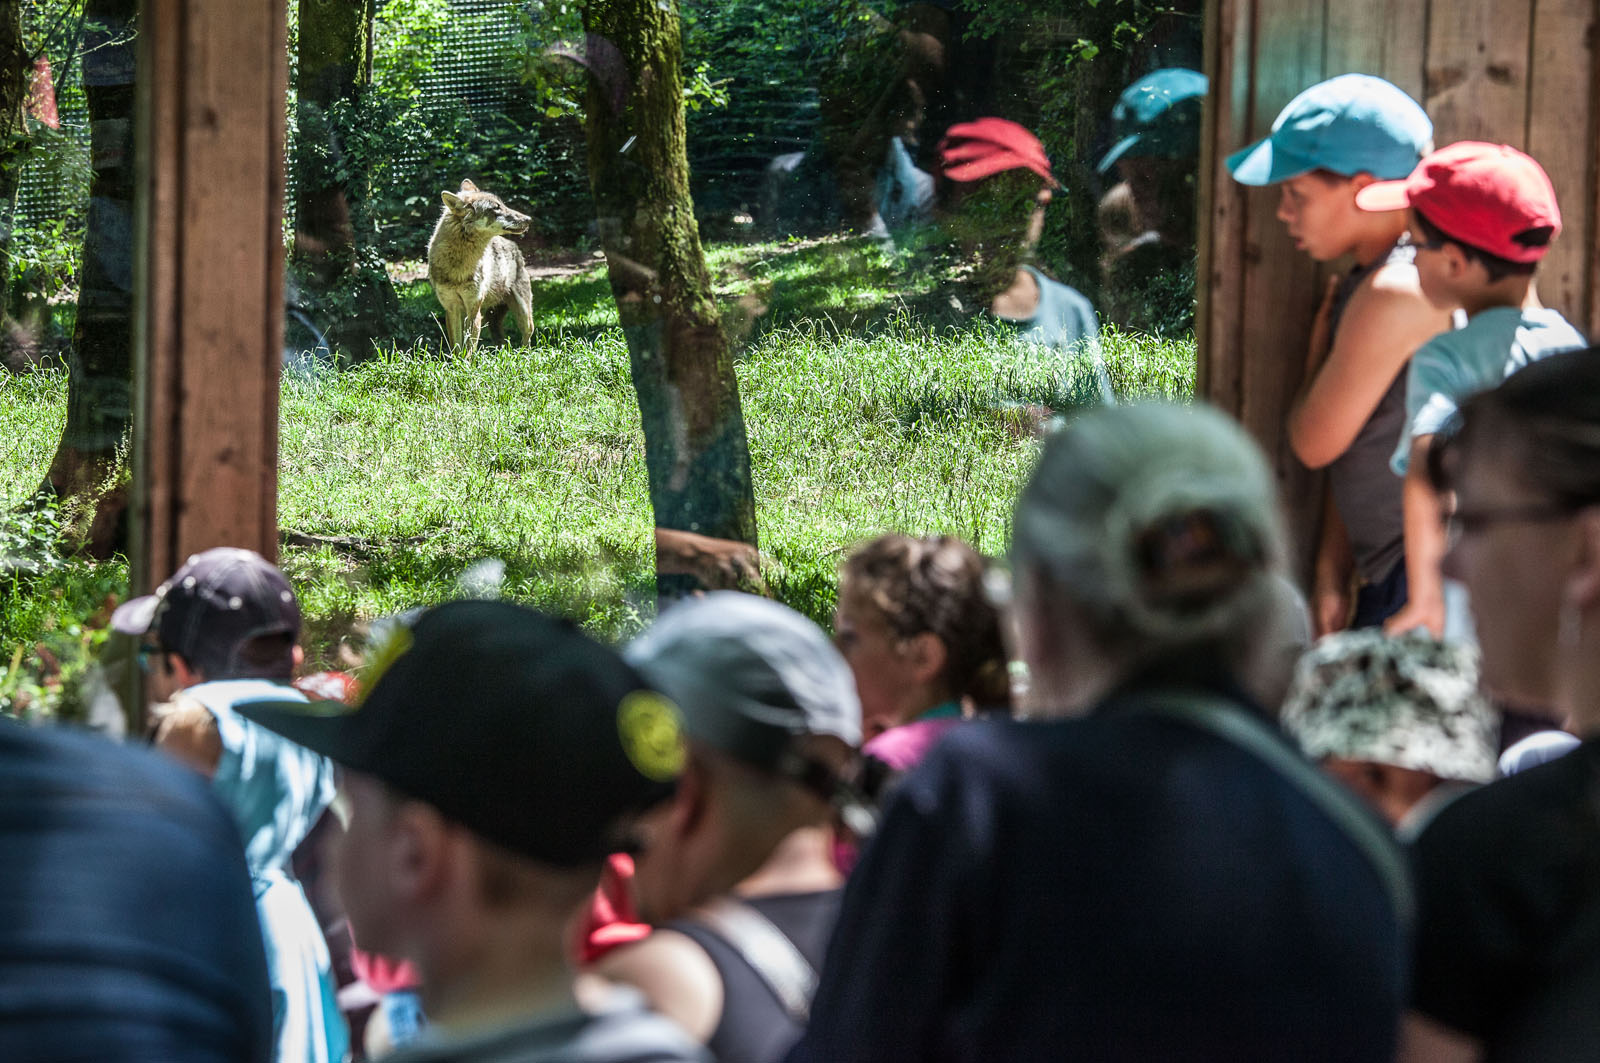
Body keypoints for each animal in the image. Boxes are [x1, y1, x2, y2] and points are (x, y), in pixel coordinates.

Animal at [428, 178, 534, 352]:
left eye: (502, 204)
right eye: (496, 208)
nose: (529, 219)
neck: (458, 267)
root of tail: (514, 246)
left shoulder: (474, 310)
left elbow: (468, 350)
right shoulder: (451, 309)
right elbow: (457, 348)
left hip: (523, 313)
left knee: (528, 336)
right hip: (492, 319)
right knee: (501, 340)